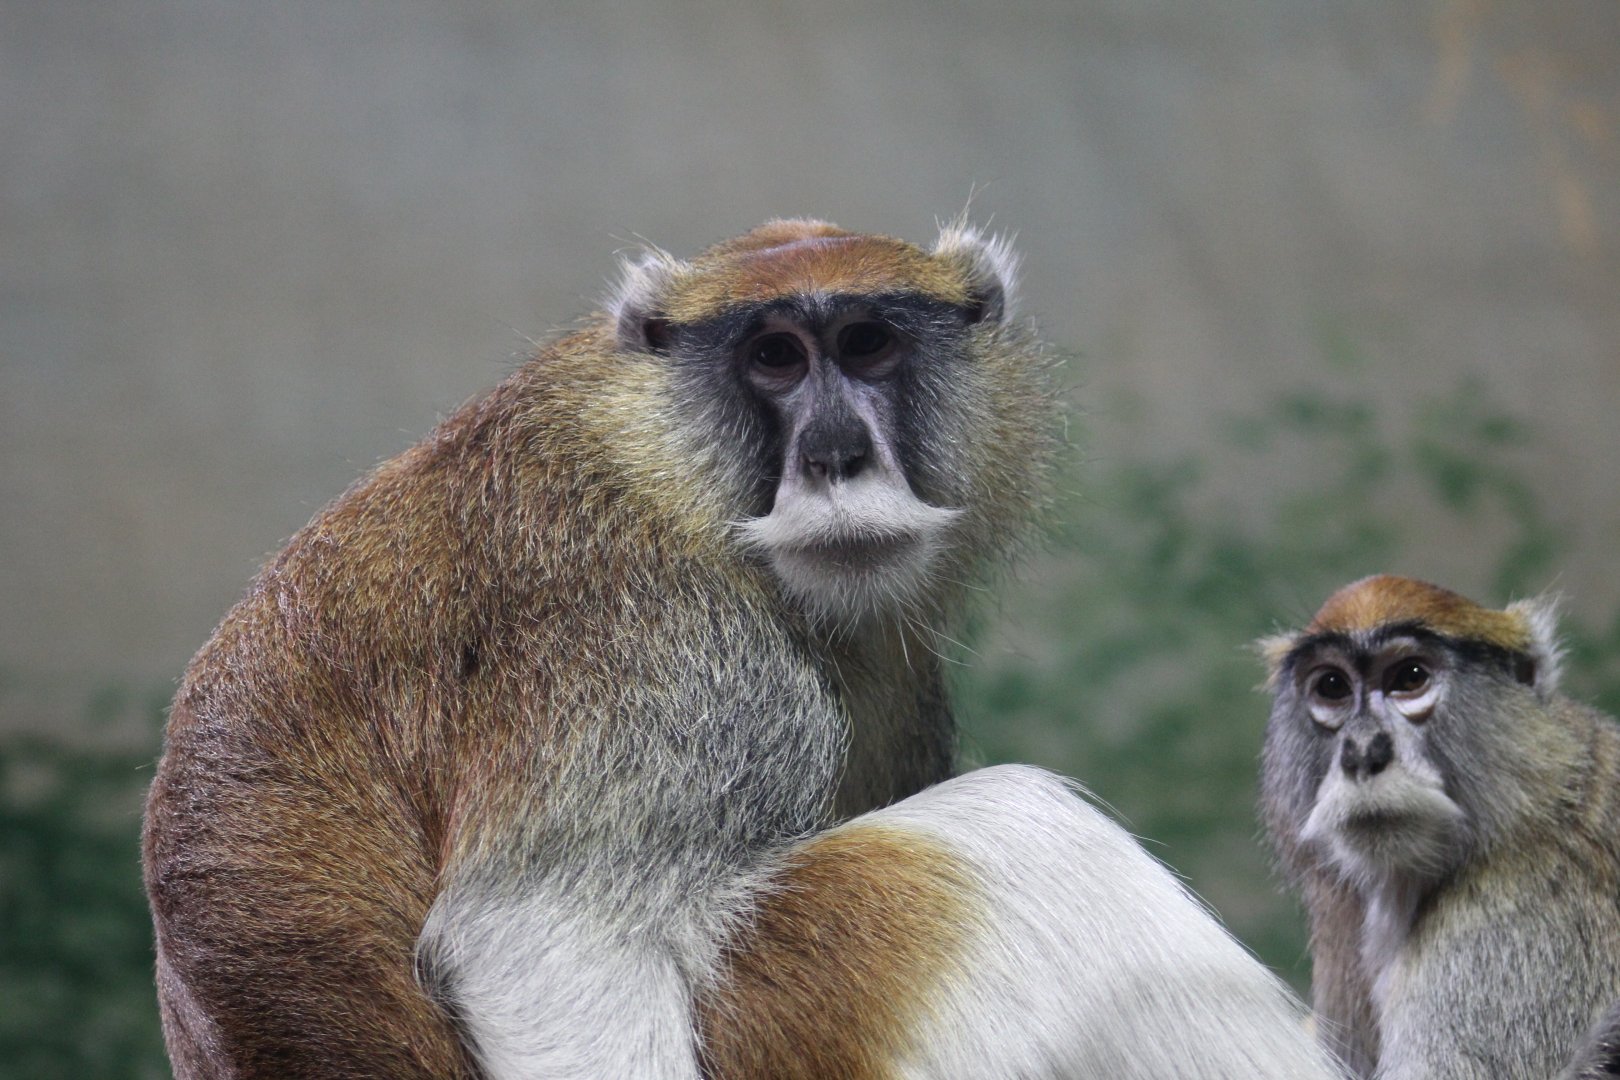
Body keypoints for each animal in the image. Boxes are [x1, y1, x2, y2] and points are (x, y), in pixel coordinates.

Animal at [143, 218, 1345, 1079]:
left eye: (867, 345)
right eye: (773, 358)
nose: (836, 453)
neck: (664, 465)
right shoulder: (652, 648)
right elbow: (543, 944)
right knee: (1012, 839)